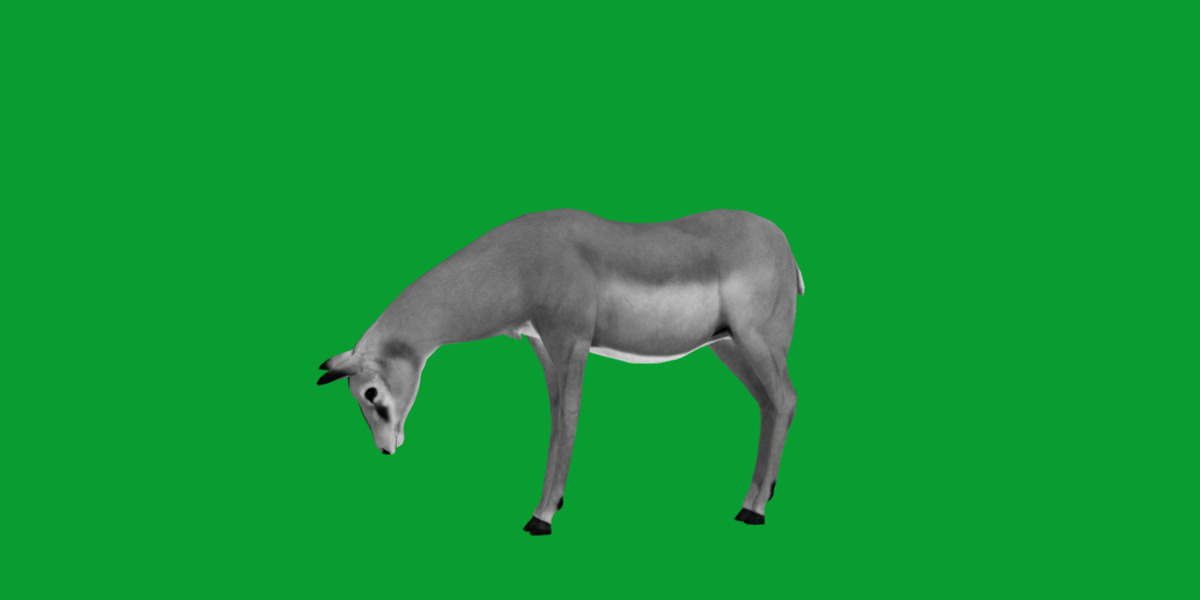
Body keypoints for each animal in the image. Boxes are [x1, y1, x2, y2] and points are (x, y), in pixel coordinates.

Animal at [317, 209, 804, 535]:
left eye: (370, 394)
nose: (387, 448)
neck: (519, 264)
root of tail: (783, 243)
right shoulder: (544, 346)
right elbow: (555, 418)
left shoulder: (570, 342)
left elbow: (568, 418)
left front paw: (542, 516)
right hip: (729, 346)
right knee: (768, 404)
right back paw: (756, 498)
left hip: (758, 341)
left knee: (785, 399)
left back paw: (754, 510)